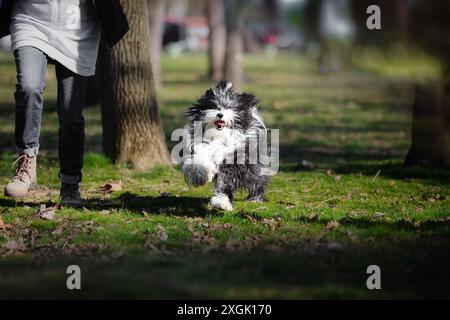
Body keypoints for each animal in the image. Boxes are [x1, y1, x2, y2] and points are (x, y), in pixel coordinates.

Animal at [181, 80, 268, 211]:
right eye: (215, 106)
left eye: (229, 108)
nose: (220, 114)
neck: (219, 137)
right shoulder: (200, 147)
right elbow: (197, 162)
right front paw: (200, 176)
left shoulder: (233, 160)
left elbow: (224, 181)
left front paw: (221, 202)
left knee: (257, 179)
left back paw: (255, 198)